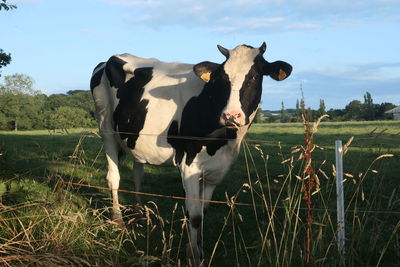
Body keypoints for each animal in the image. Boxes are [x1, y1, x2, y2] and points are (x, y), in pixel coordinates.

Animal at [90, 42, 290, 266]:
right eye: (222, 79)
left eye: (255, 76)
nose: (231, 115)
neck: (225, 139)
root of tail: (109, 59)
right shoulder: (188, 163)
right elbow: (194, 215)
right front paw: (193, 255)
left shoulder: (216, 169)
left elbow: (202, 211)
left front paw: (198, 249)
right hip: (105, 127)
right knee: (113, 177)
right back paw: (118, 222)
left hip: (135, 138)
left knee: (137, 176)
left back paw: (140, 215)